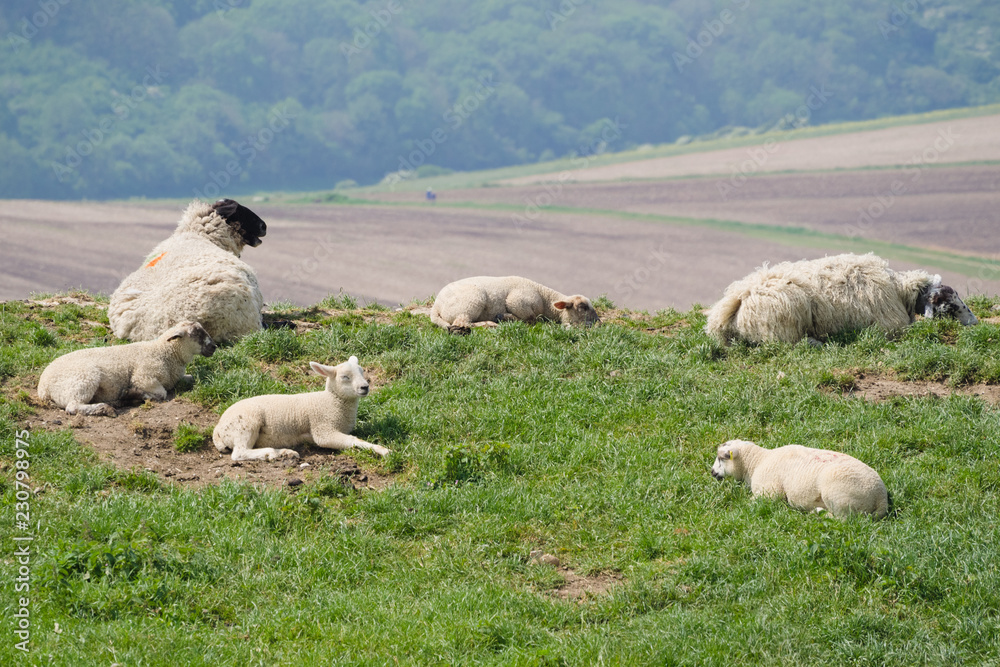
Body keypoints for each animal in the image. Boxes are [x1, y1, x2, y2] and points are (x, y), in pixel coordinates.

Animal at [37, 321, 216, 417]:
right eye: (196, 334)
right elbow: (161, 393)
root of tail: (43, 388)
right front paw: (134, 393)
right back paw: (105, 408)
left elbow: (190, 379)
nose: (214, 347)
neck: (164, 353)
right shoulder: (144, 376)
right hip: (84, 379)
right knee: (73, 406)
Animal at [212, 356, 389, 462]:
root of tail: (218, 428)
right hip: (246, 425)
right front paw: (383, 450)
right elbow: (353, 441)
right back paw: (274, 453)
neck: (331, 402)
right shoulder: (323, 430)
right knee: (240, 453)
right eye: (345, 377)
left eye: (362, 372)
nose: (365, 387)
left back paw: (285, 453)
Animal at [429, 275, 601, 334]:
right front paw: (504, 316)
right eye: (583, 307)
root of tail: (436, 307)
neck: (545, 299)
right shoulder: (518, 301)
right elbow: (532, 319)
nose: (599, 322)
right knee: (462, 323)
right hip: (471, 301)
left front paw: (504, 317)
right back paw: (490, 324)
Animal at [705, 253, 978, 345]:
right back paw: (816, 342)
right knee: (784, 344)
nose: (975, 323)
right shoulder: (890, 327)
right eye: (950, 305)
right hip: (783, 320)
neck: (899, 290)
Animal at [711, 439, 889, 519]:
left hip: (839, 496)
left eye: (721, 458)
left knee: (843, 519)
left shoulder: (768, 493)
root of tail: (881, 496)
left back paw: (818, 512)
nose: (712, 472)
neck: (756, 462)